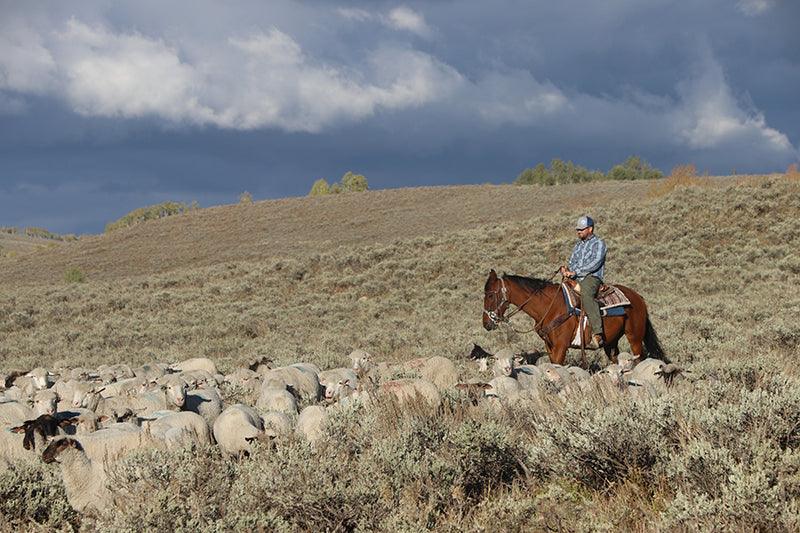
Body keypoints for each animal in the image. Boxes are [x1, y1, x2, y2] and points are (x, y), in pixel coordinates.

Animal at [488, 270, 664, 366]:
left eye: (490, 295)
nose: (486, 323)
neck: (549, 307)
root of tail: (638, 297)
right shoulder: (549, 346)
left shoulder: (561, 346)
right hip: (611, 342)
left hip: (635, 337)